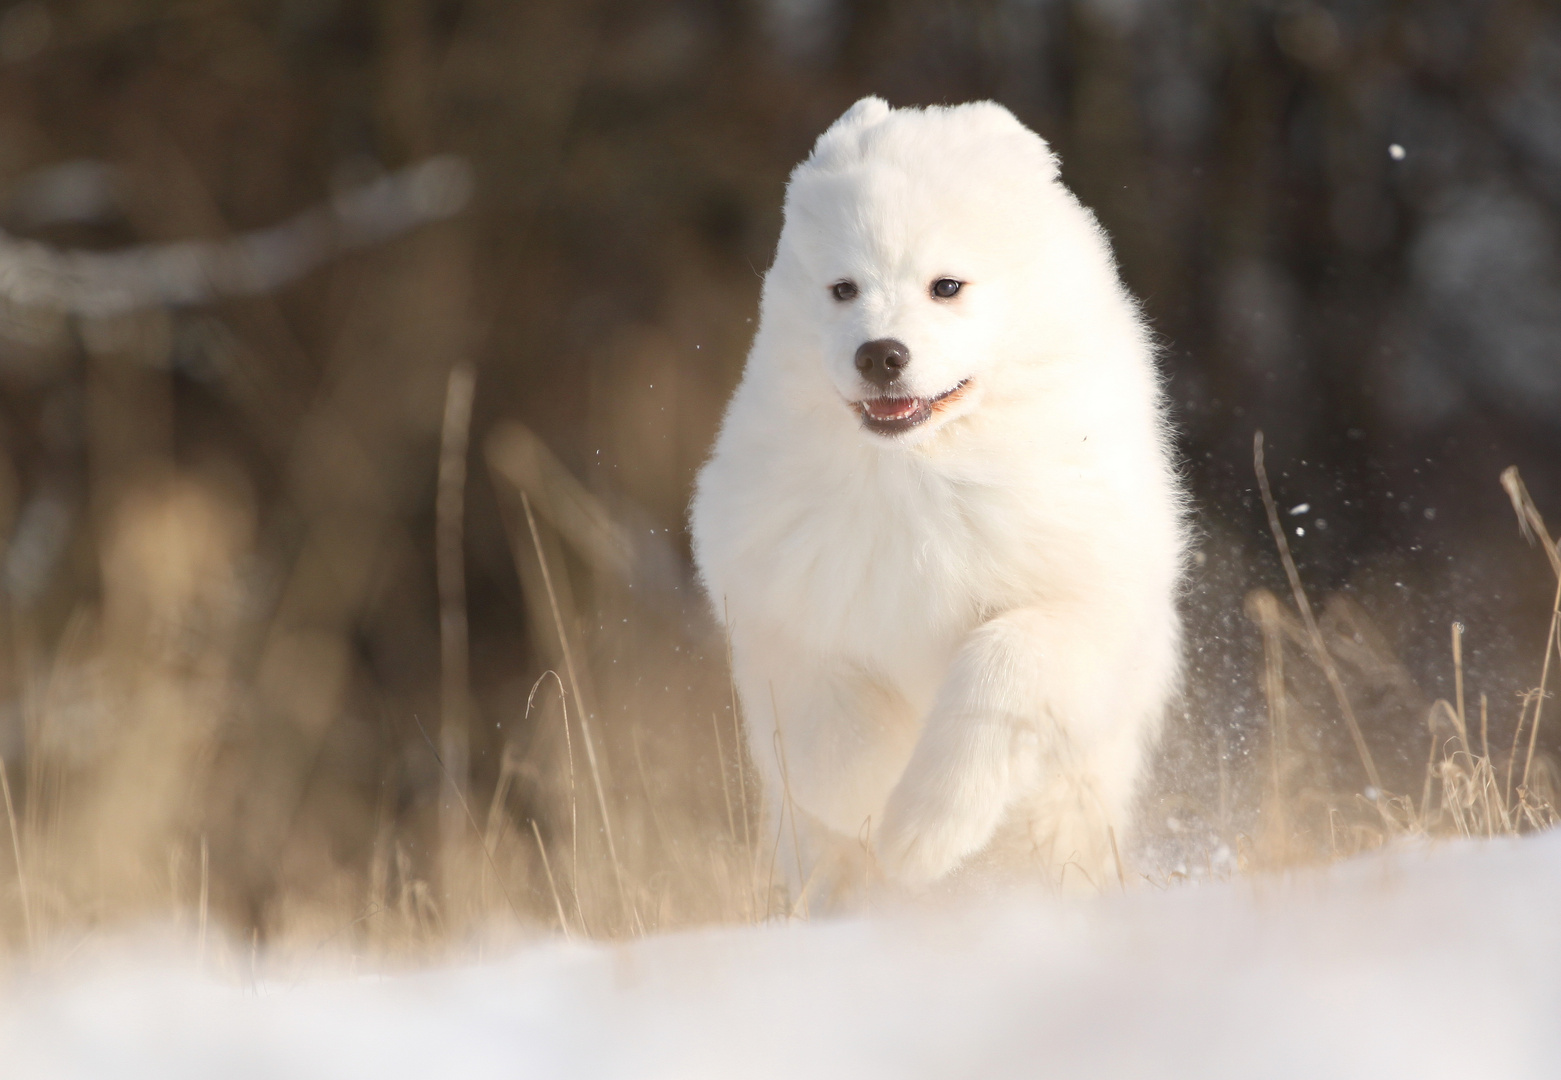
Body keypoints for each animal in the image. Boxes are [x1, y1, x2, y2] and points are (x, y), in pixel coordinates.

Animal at [689, 99, 1173, 892]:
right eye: (843, 289)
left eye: (946, 286)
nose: (880, 354)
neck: (916, 474)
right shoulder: (782, 617)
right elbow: (834, 738)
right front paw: (877, 812)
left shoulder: (1078, 608)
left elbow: (998, 673)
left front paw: (921, 834)